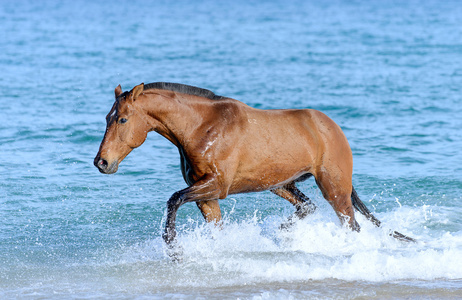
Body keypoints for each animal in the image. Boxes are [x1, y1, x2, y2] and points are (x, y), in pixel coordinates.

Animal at [94, 82, 416, 246]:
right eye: (108, 117)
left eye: (122, 119)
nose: (102, 162)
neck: (201, 127)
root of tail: (333, 128)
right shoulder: (206, 196)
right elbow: (213, 227)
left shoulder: (216, 186)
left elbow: (173, 200)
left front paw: (173, 246)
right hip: (281, 184)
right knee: (307, 207)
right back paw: (282, 234)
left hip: (334, 188)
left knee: (351, 225)